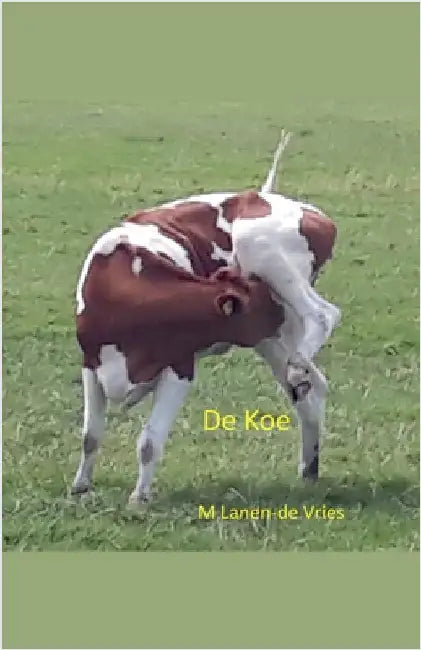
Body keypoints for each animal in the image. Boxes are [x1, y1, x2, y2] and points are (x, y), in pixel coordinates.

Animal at [72, 132, 340, 503]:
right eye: (259, 302)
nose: (275, 306)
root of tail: (268, 196)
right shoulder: (91, 363)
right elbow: (90, 435)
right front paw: (80, 486)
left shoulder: (180, 368)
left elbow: (149, 442)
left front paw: (139, 499)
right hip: (276, 337)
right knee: (310, 391)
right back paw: (309, 466)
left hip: (262, 253)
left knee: (324, 315)